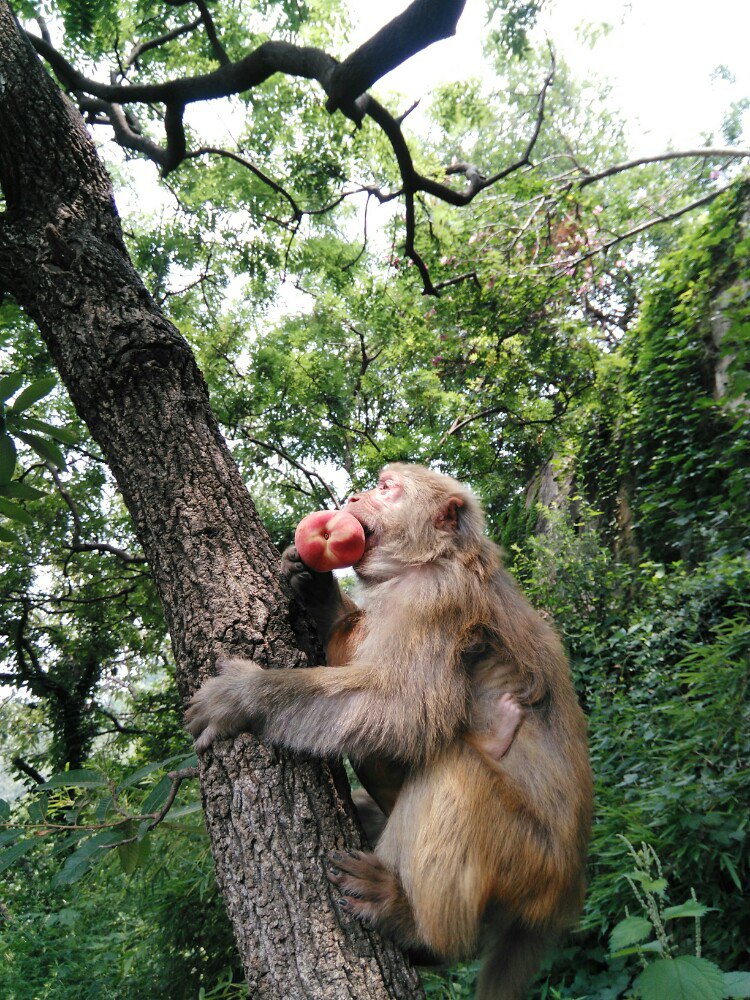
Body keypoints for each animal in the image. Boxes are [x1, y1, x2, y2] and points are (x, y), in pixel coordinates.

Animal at [187, 464, 592, 996]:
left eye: (386, 488)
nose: (354, 496)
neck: (434, 557)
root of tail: (565, 894)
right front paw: (315, 589)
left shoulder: (431, 599)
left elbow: (400, 710)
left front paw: (243, 695)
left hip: (529, 862)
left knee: (455, 772)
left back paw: (415, 925)